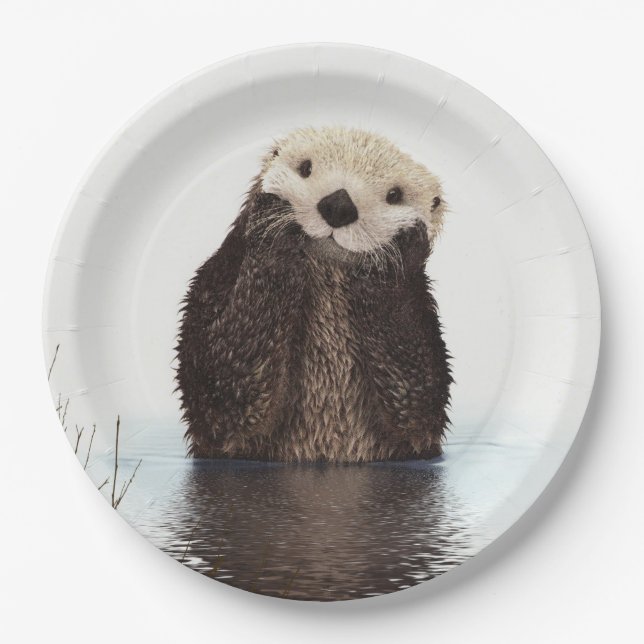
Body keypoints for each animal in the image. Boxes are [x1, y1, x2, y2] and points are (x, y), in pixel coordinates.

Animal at [176, 126, 451, 462]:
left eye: (394, 195)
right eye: (305, 168)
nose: (339, 205)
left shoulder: (423, 320)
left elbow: (418, 402)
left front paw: (396, 252)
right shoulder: (215, 281)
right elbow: (221, 388)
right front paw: (273, 222)